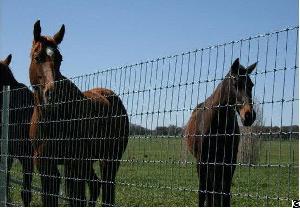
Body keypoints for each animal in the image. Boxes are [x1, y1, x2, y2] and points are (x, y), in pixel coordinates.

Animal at [28, 20, 130, 206]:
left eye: (60, 59)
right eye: (37, 57)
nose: (53, 94)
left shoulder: (75, 163)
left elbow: (77, 199)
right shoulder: (45, 164)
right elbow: (50, 198)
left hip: (108, 160)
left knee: (107, 190)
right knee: (95, 184)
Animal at [185, 58, 258, 206]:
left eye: (251, 85)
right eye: (235, 83)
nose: (249, 116)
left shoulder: (229, 161)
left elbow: (225, 193)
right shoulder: (202, 161)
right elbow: (203, 192)